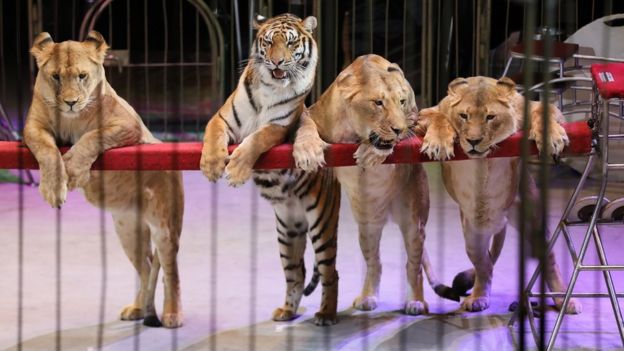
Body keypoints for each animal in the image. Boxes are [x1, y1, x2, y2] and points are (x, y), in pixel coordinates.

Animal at [24, 31, 185, 328]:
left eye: (82, 76)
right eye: (55, 77)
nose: (71, 102)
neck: (71, 118)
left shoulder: (128, 125)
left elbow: (92, 137)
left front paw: (73, 170)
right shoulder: (33, 128)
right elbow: (48, 151)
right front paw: (53, 188)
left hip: (165, 227)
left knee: (171, 271)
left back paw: (172, 314)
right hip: (127, 231)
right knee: (146, 267)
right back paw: (138, 308)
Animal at [200, 13, 338, 328]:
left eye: (291, 43)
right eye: (268, 42)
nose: (277, 63)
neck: (269, 89)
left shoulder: (278, 127)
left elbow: (256, 140)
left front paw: (235, 171)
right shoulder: (222, 117)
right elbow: (212, 134)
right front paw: (211, 165)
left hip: (321, 223)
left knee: (330, 272)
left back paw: (327, 314)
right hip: (287, 231)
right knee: (297, 272)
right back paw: (286, 311)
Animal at [292, 55, 458, 316]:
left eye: (401, 101)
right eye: (378, 103)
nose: (398, 129)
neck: (354, 130)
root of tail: (388, 214)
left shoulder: (414, 116)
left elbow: (430, 120)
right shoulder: (313, 113)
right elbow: (304, 125)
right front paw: (307, 150)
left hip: (414, 224)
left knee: (413, 266)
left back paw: (416, 302)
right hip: (367, 228)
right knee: (374, 263)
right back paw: (368, 297)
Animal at [416, 76, 584, 314]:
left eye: (490, 117)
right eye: (464, 116)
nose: (473, 141)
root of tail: (499, 221)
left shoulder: (531, 106)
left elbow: (545, 111)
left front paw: (551, 137)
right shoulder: (427, 112)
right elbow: (438, 117)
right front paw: (438, 142)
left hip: (534, 222)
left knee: (550, 260)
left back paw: (565, 301)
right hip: (473, 236)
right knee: (485, 266)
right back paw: (478, 298)